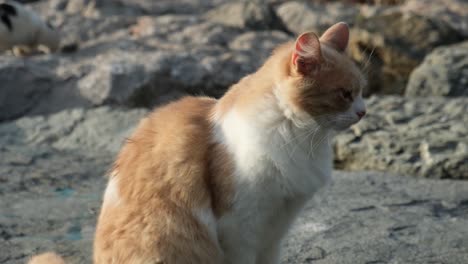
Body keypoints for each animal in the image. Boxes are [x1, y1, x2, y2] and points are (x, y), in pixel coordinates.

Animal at [30, 21, 366, 262]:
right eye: (345, 94)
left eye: (362, 90)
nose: (363, 111)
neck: (297, 134)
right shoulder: (239, 227)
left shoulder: (274, 231)